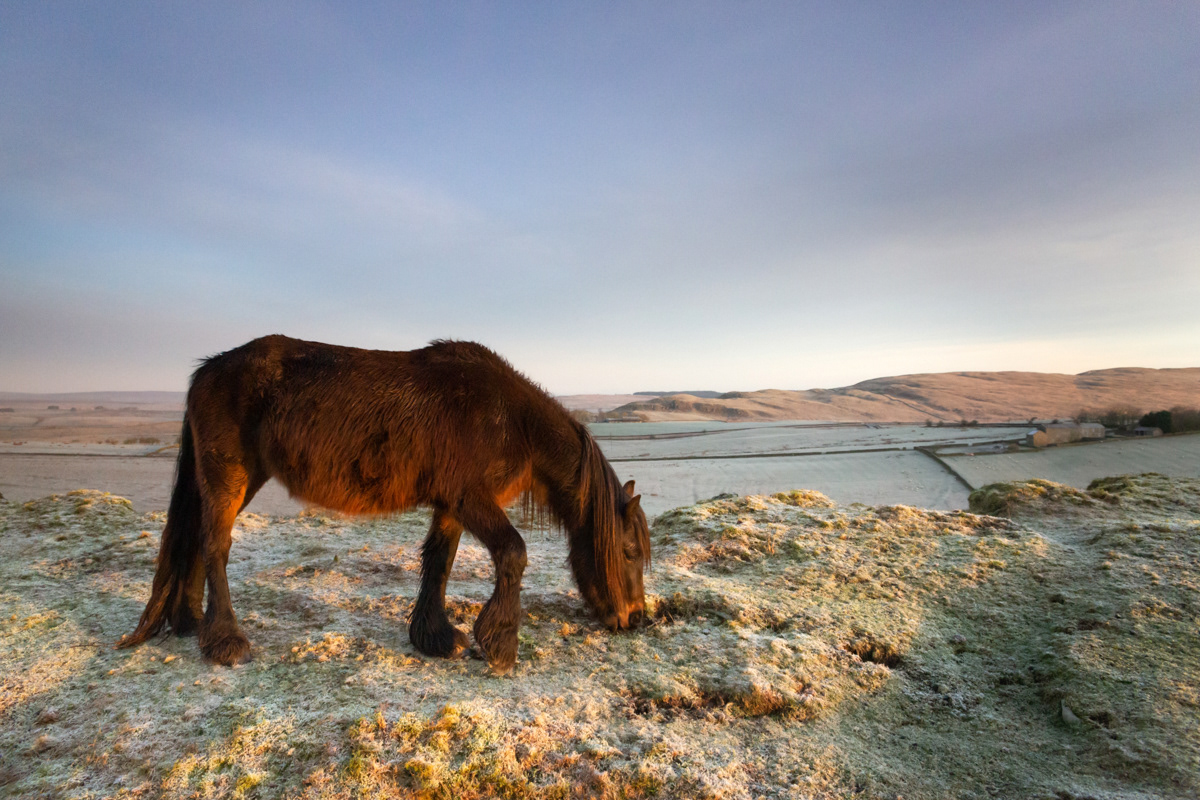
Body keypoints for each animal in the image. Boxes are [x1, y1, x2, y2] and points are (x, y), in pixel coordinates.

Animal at [117, 335, 650, 674]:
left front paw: (435, 637)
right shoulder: (472, 498)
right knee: (215, 546)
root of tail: (207, 370)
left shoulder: (452, 505)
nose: (637, 619)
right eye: (628, 552)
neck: (509, 419)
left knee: (195, 540)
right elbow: (513, 553)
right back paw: (226, 641)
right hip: (230, 476)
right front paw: (499, 644)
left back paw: (190, 624)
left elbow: (439, 561)